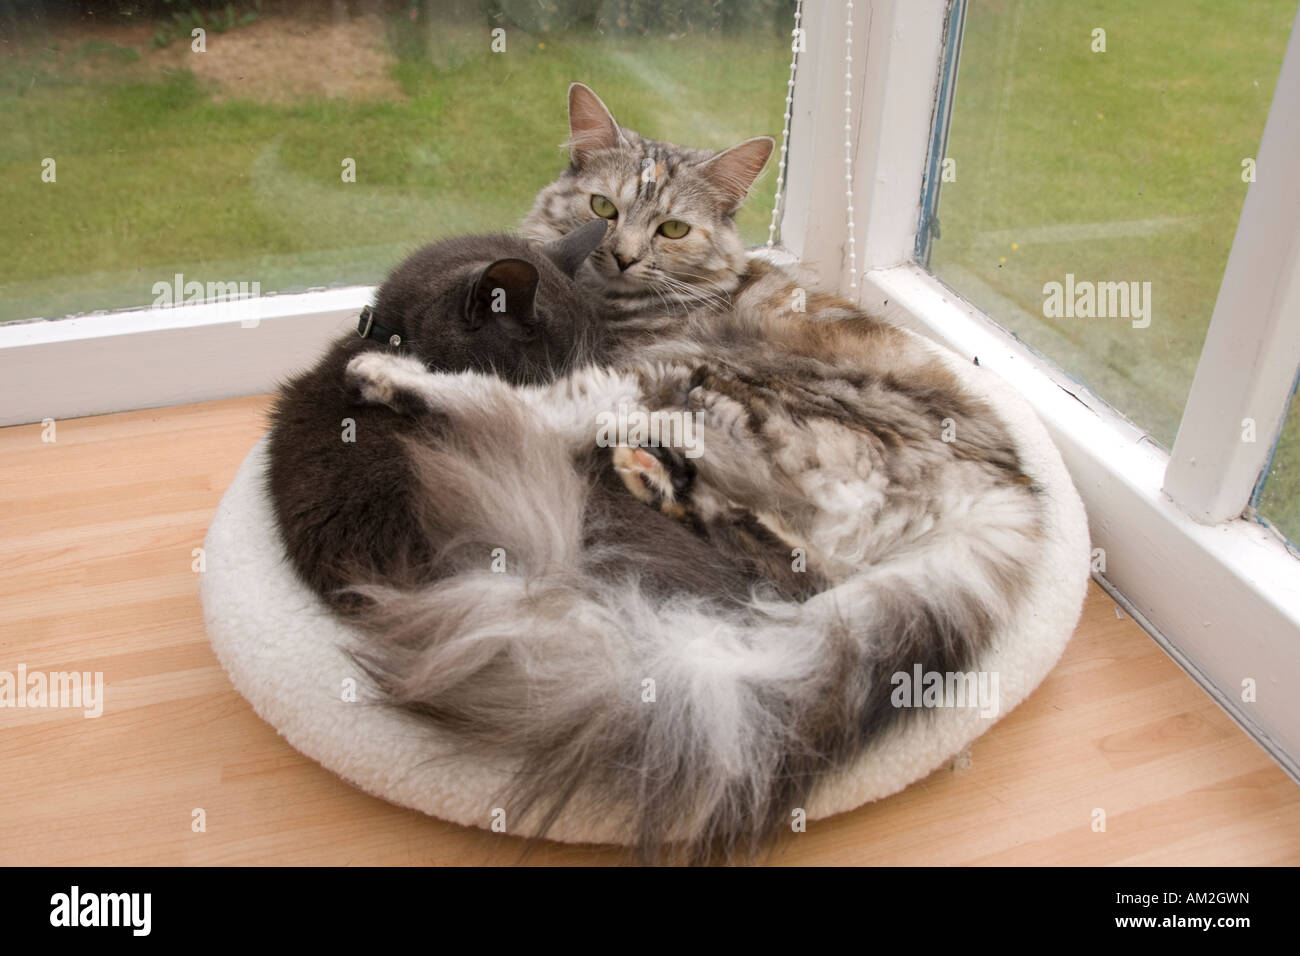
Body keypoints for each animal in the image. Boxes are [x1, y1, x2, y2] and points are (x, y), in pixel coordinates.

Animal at [343, 83, 1045, 858]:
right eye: (603, 208)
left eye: (673, 229)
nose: (621, 256)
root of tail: (1006, 497)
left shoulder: (625, 362)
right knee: (800, 568)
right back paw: (656, 479)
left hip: (693, 382)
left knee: (527, 412)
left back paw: (396, 379)